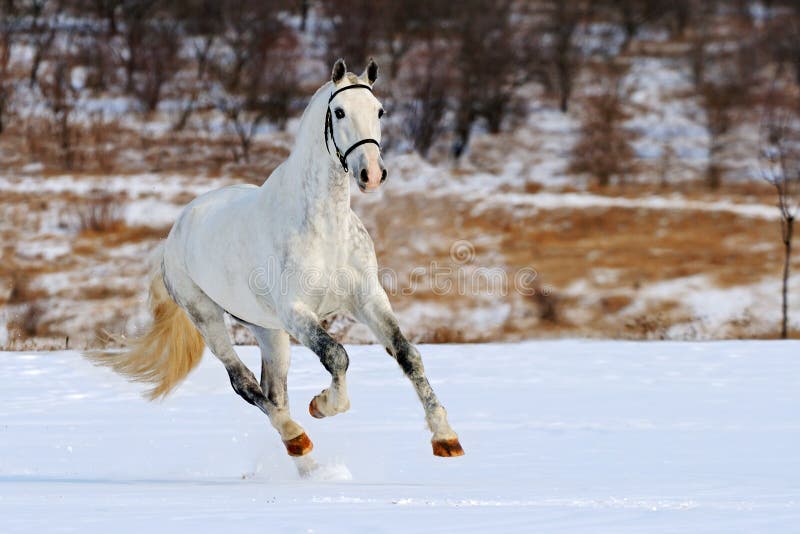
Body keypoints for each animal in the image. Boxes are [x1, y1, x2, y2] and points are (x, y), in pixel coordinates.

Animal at [95, 57, 462, 468]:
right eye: (339, 111)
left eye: (379, 110)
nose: (372, 174)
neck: (325, 228)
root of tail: (174, 234)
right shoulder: (296, 312)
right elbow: (337, 355)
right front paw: (323, 404)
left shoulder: (367, 300)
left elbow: (407, 354)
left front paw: (446, 438)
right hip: (209, 317)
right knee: (245, 383)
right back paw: (297, 436)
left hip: (268, 330)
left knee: (275, 390)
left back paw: (305, 462)